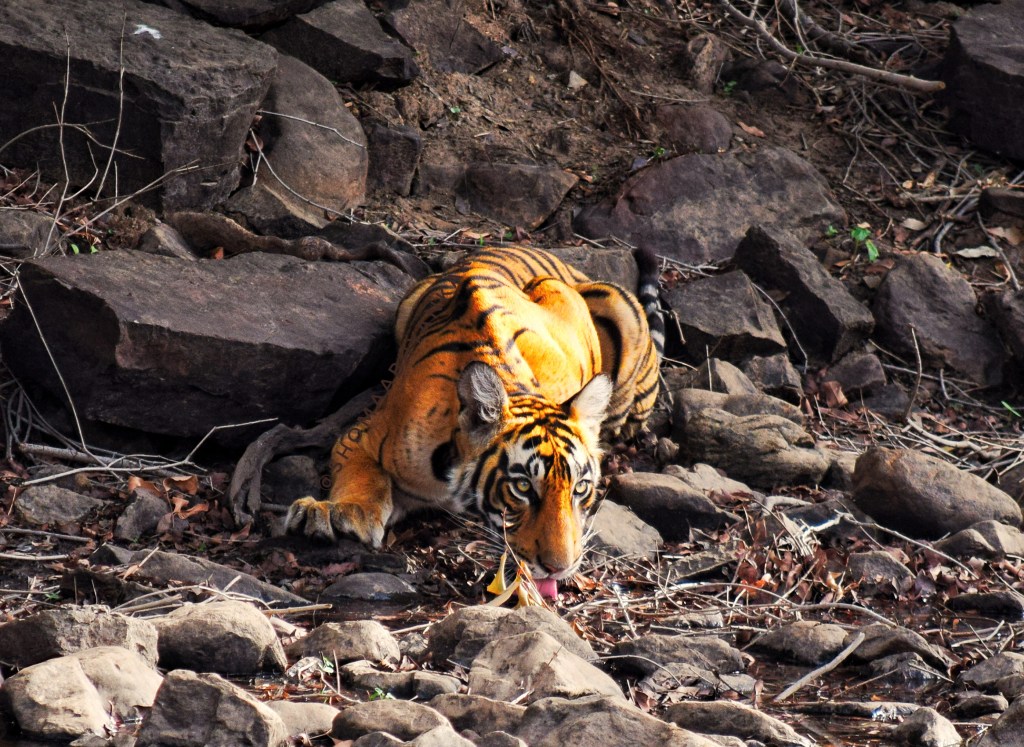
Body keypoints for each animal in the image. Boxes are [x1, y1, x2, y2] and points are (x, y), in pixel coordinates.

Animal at [286, 246, 663, 589]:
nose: (560, 568)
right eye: (522, 487)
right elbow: (364, 475)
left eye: (580, 488)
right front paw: (346, 513)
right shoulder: (362, 435)